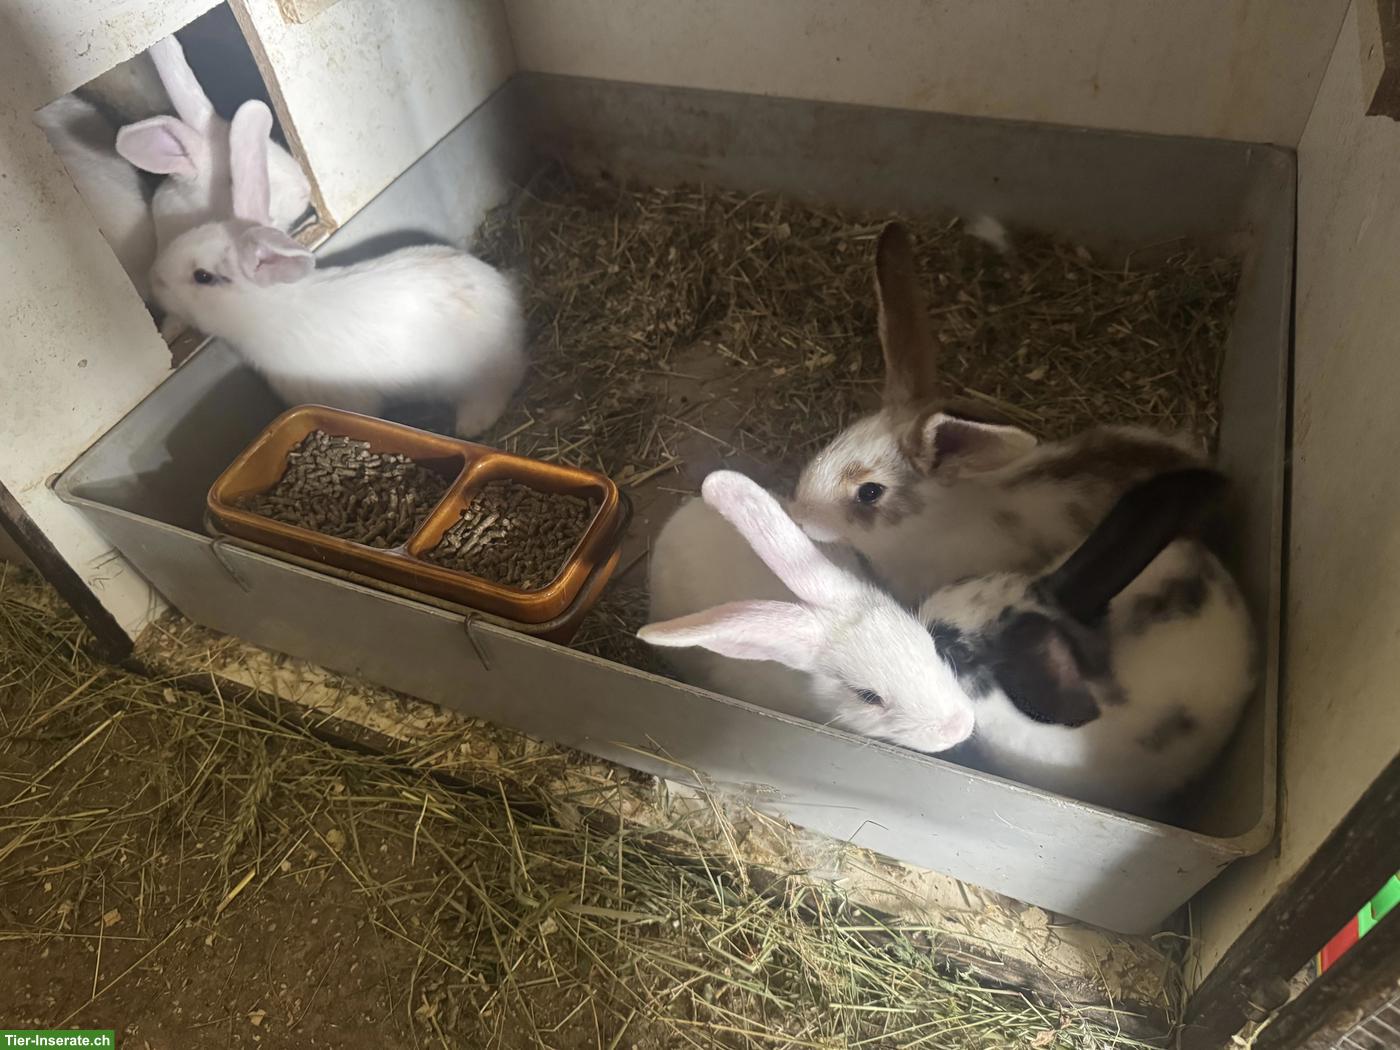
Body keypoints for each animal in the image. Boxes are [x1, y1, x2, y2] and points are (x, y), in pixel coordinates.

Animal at [151, 100, 527, 438]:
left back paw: (470, 425)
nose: (156, 278)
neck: (270, 314)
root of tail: (507, 298)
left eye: (202, 276)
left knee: (497, 390)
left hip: (480, 378)